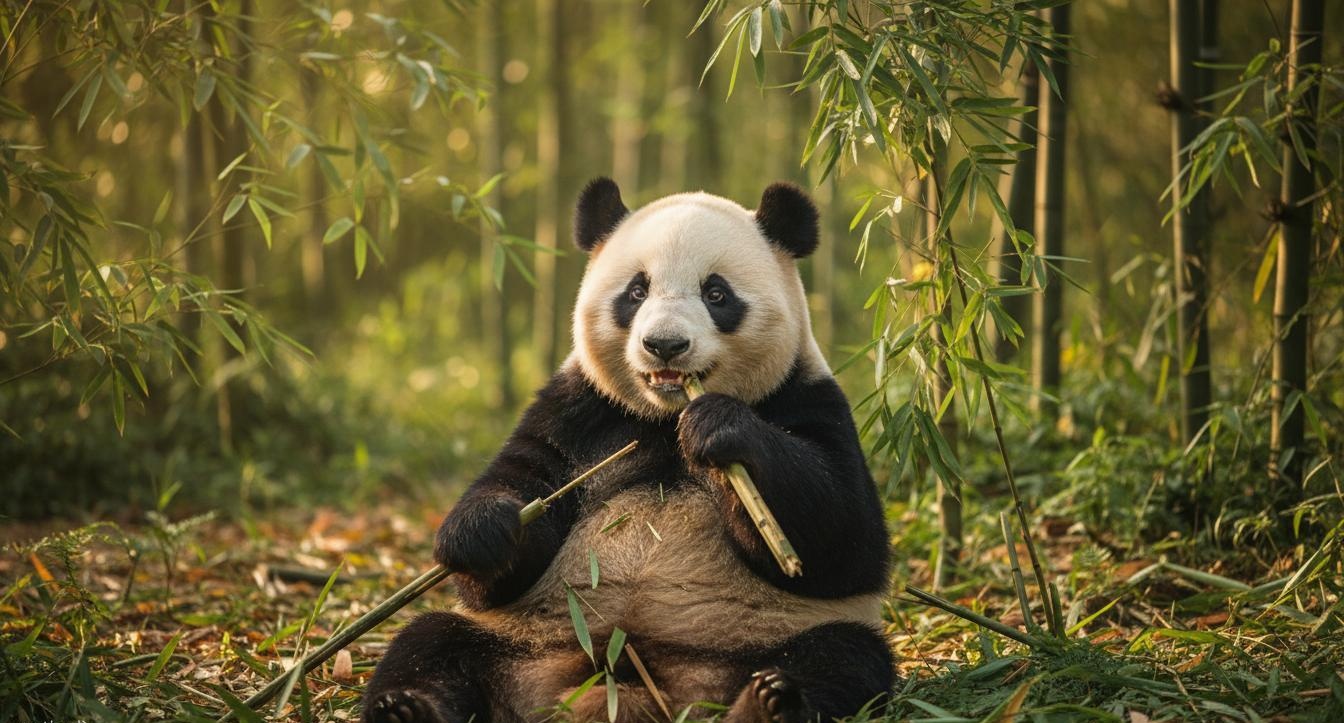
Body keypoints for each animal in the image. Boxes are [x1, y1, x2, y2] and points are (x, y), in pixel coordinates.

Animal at [363, 179, 894, 723]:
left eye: (716, 293)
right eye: (636, 291)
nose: (665, 344)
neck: (663, 418)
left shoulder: (810, 398)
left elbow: (844, 540)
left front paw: (720, 427)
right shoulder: (576, 411)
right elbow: (513, 511)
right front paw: (483, 530)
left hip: (766, 638)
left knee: (843, 655)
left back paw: (770, 700)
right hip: (520, 639)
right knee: (430, 641)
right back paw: (405, 707)